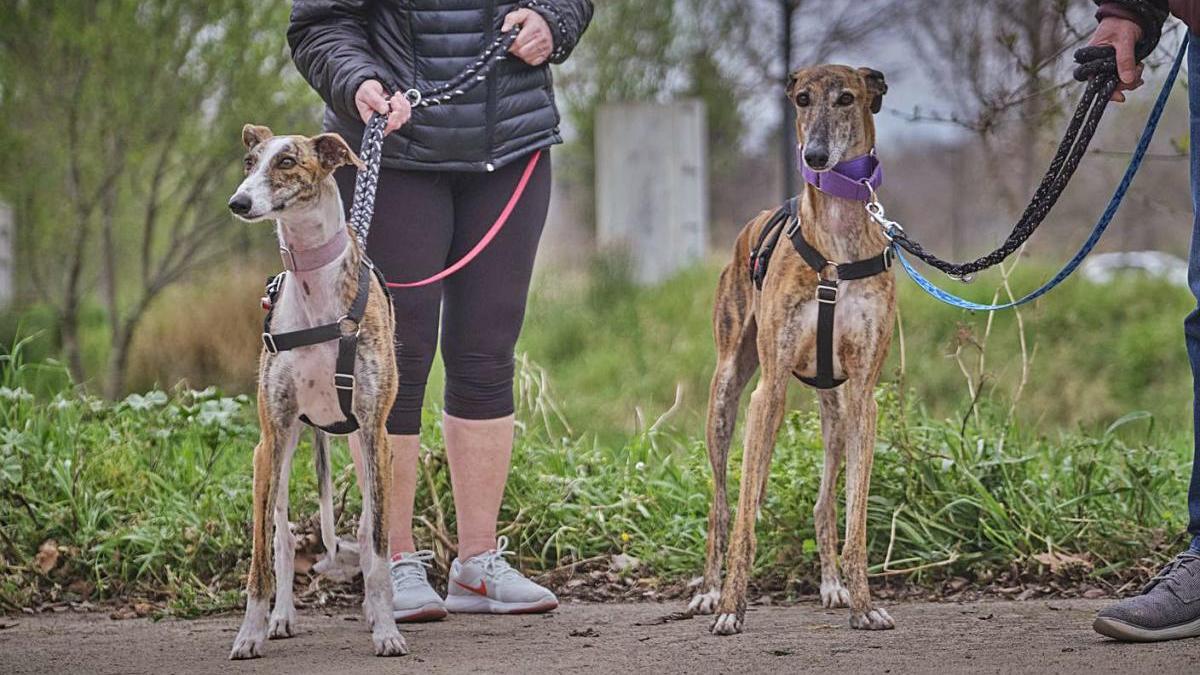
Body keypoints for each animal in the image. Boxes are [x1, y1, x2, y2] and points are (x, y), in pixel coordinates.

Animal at [225, 123, 408, 653]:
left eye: (286, 162)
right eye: (250, 162)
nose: (238, 203)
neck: (313, 292)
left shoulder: (375, 432)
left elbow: (378, 545)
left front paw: (386, 629)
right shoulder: (270, 436)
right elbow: (261, 556)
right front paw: (250, 633)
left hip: (361, 446)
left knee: (366, 530)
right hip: (285, 446)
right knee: (283, 538)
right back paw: (282, 616)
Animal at [691, 65, 897, 634]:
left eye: (846, 98)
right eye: (802, 99)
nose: (817, 156)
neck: (838, 241)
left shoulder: (864, 396)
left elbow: (855, 520)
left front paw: (864, 603)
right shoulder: (769, 391)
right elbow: (743, 520)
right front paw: (732, 607)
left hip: (835, 411)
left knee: (824, 504)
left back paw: (832, 585)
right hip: (726, 395)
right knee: (721, 506)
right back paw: (708, 591)